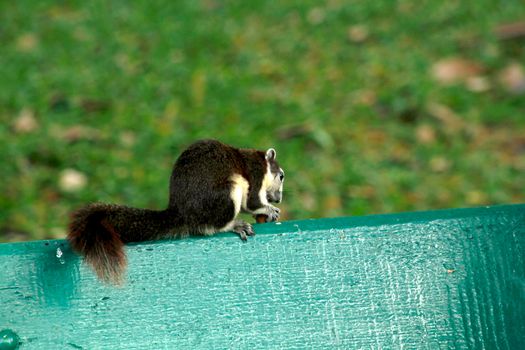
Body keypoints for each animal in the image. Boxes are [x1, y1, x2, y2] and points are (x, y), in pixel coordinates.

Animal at [69, 139, 284, 284]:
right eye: (281, 176)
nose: (278, 198)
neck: (258, 161)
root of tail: (181, 213)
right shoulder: (255, 175)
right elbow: (253, 201)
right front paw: (270, 209)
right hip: (228, 193)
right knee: (211, 227)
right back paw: (234, 224)